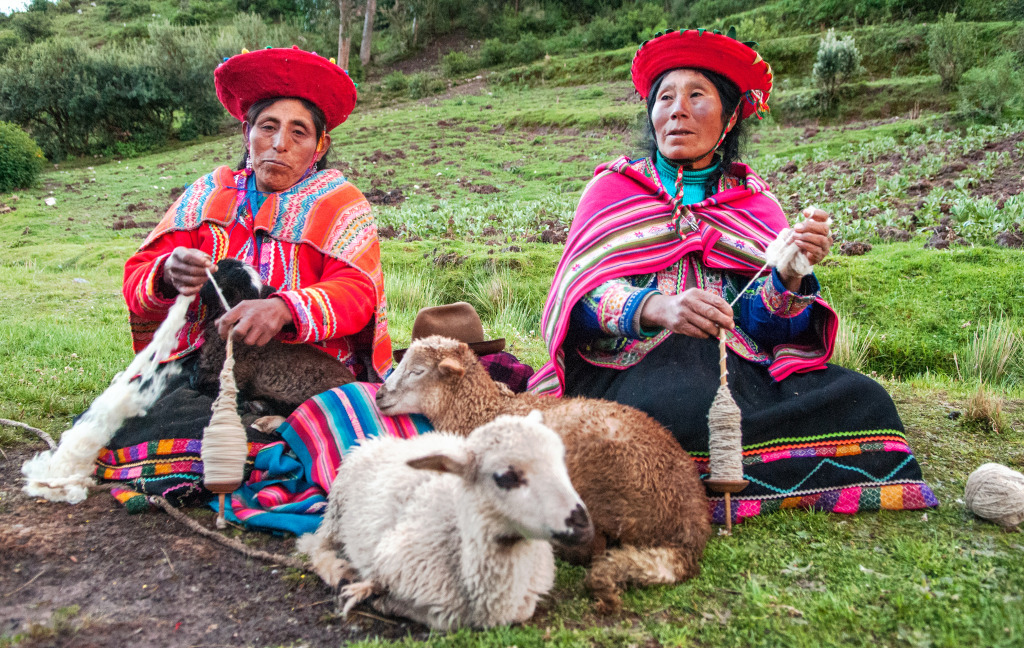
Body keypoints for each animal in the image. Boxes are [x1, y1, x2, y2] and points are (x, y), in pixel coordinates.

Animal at [294, 411, 593, 630]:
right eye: (505, 477)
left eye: (561, 460)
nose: (583, 524)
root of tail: (389, 439)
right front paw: (375, 596)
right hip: (337, 510)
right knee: (315, 545)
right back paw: (337, 570)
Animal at [376, 333, 712, 610]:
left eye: (417, 371)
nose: (379, 396)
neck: (484, 412)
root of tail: (690, 529)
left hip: (595, 486)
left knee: (591, 548)